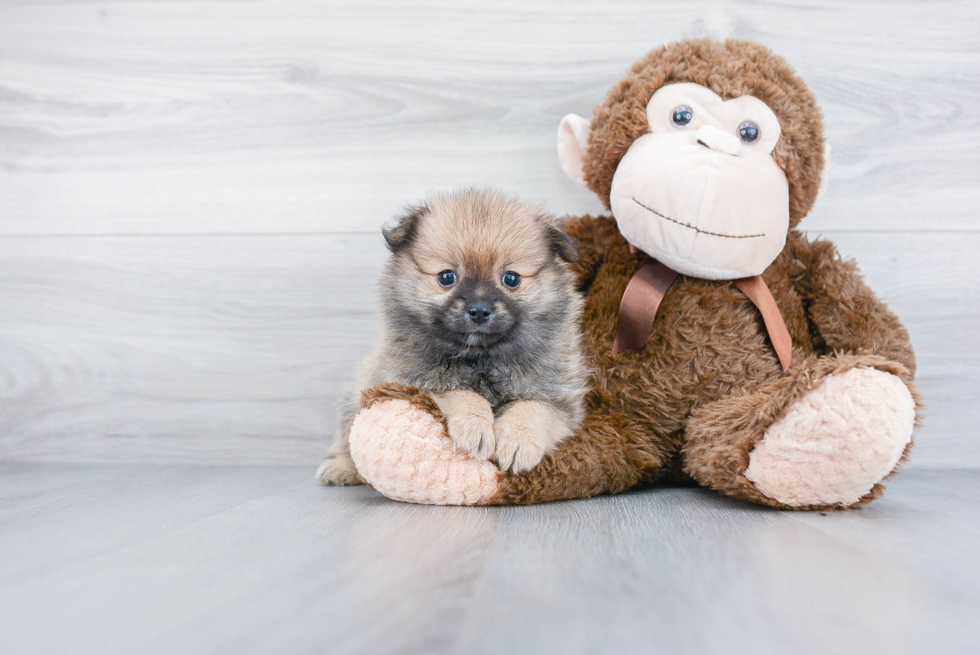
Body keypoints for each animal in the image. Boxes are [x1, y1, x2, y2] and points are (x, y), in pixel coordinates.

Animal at [318, 187, 588, 484]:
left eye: (511, 279)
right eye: (447, 277)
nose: (479, 311)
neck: (481, 359)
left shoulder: (558, 398)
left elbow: (532, 408)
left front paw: (519, 440)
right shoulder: (415, 382)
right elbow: (461, 392)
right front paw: (476, 425)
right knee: (347, 440)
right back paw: (341, 468)